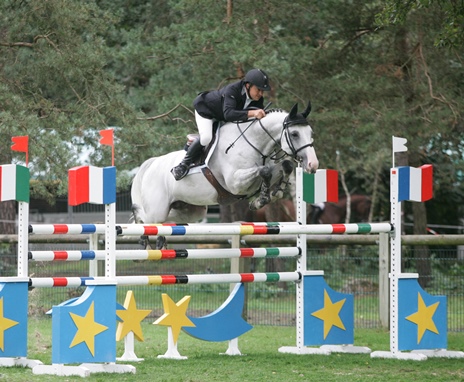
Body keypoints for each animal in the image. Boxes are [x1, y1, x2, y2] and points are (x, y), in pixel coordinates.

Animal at [130, 100, 320, 246]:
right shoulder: (235, 184)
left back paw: (159, 237)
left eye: (310, 132)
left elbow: (285, 165)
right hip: (158, 208)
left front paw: (273, 193)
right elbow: (263, 170)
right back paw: (141, 231)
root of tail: (152, 163)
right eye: (294, 134)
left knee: (167, 221)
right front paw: (262, 199)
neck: (253, 143)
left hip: (191, 210)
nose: (313, 164)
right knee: (148, 219)